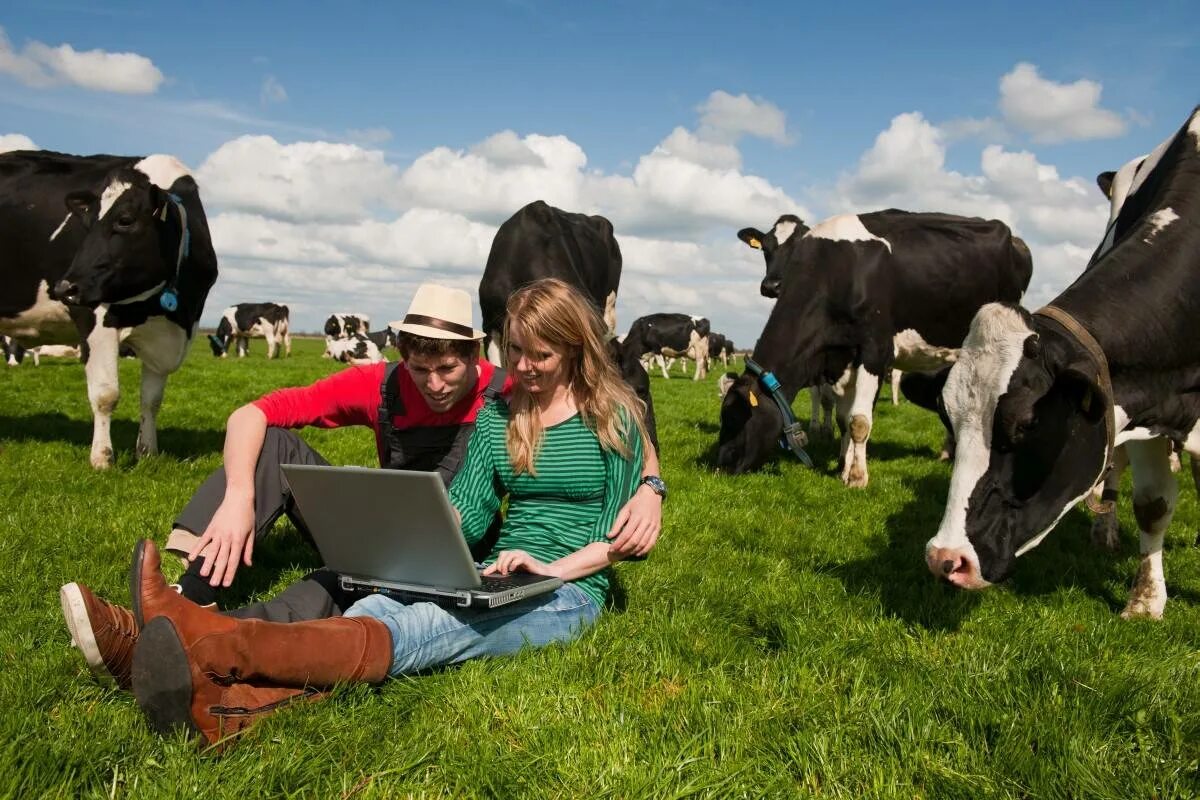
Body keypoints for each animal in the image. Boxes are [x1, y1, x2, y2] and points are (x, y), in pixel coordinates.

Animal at [0, 149, 219, 470]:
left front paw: (148, 453)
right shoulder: (94, 317)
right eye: (87, 225)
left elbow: (151, 400)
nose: (64, 288)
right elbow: (106, 394)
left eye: (125, 220)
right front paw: (102, 459)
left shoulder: (169, 334)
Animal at [715, 209, 1036, 484]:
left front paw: (856, 478)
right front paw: (842, 465)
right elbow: (844, 418)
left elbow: (859, 420)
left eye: (734, 418)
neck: (836, 271)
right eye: (765, 250)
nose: (720, 463)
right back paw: (948, 450)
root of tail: (1014, 238)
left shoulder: (875, 350)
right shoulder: (842, 356)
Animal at [926, 106, 1200, 618]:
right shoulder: (1146, 402)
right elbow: (1152, 504)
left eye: (1027, 424)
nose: (945, 559)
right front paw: (1145, 602)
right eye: (949, 420)